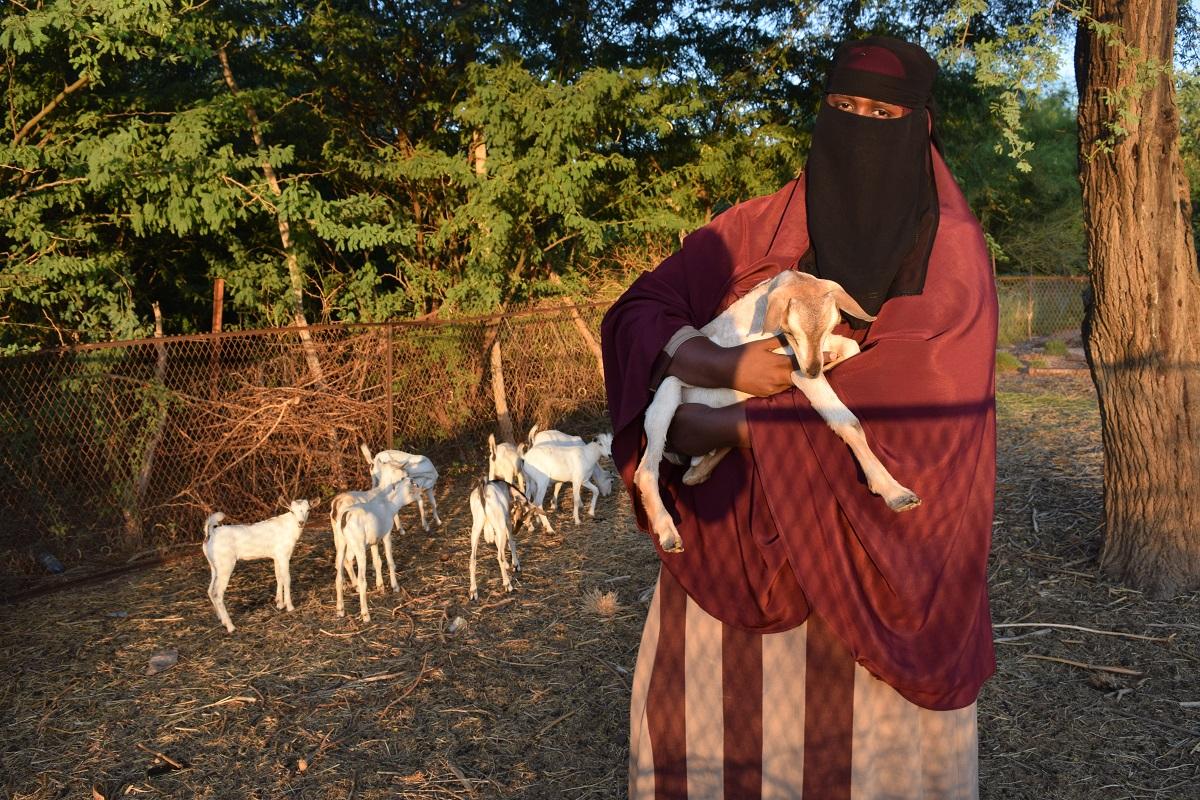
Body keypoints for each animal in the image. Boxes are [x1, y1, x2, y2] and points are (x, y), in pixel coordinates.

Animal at [202, 499, 313, 634]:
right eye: (292, 511)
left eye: (308, 509)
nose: (301, 522)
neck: (288, 527)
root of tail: (211, 533)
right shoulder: (284, 555)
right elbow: (287, 578)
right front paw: (290, 607)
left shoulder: (276, 556)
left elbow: (279, 577)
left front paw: (279, 604)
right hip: (225, 564)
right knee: (218, 593)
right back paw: (230, 626)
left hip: (214, 566)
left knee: (210, 590)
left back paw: (221, 619)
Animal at [335, 479, 419, 623]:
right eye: (412, 483)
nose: (420, 488)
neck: (390, 504)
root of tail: (346, 516)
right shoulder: (386, 535)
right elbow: (390, 561)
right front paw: (395, 586)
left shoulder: (374, 541)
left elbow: (377, 561)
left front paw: (380, 586)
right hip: (359, 547)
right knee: (361, 579)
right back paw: (365, 614)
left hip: (342, 543)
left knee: (339, 577)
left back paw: (340, 610)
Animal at [635, 269, 921, 553]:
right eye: (791, 332)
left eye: (830, 325)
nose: (813, 370)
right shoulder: (791, 366)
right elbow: (846, 421)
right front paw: (896, 494)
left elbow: (852, 347)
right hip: (666, 396)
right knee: (645, 471)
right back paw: (668, 534)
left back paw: (698, 471)